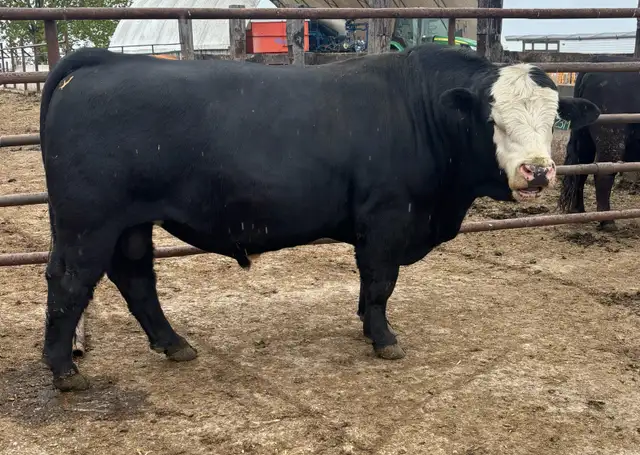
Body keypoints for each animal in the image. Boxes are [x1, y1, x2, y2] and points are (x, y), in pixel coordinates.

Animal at [39, 44, 599, 391]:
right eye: (492, 117)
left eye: (554, 118)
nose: (537, 171)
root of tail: (103, 63)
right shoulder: (386, 218)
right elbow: (381, 281)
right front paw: (384, 340)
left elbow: (370, 284)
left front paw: (366, 326)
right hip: (90, 222)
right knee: (70, 282)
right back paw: (63, 370)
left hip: (130, 222)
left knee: (134, 276)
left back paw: (173, 344)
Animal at [558, 55, 640, 231]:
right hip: (612, 134)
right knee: (604, 172)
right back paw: (607, 221)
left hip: (584, 138)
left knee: (581, 168)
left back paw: (578, 211)